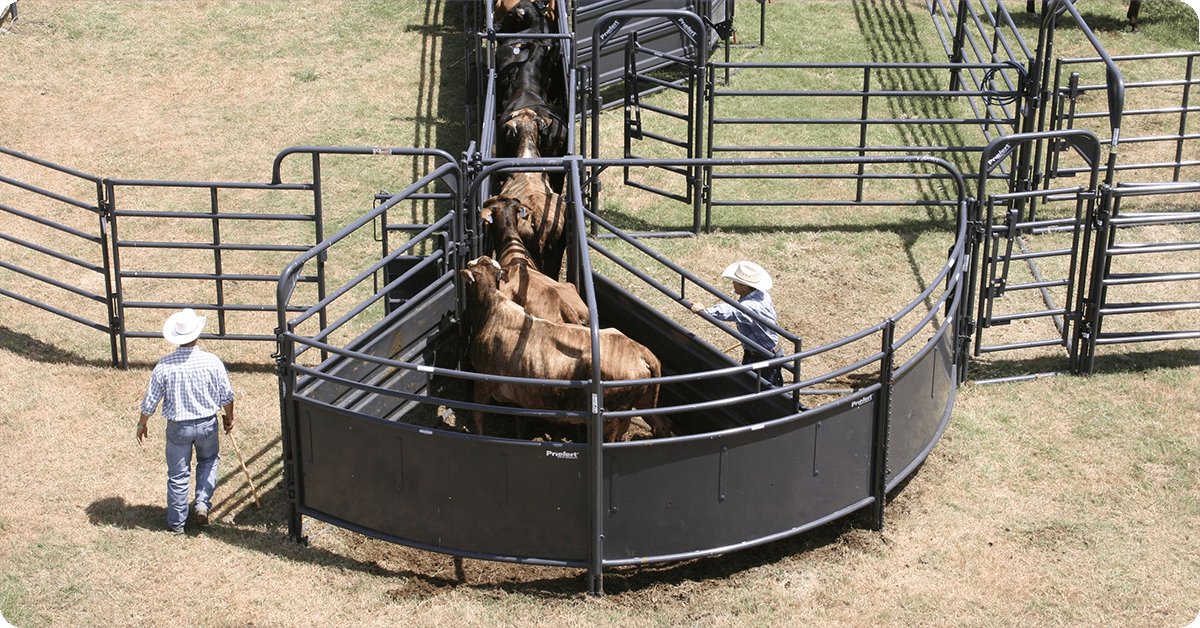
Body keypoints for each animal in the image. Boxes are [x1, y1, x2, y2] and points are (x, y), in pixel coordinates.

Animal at [460, 256, 669, 442]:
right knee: (661, 423)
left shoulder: (484, 378)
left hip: (611, 417)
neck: (493, 308)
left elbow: (478, 413)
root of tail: (642, 351)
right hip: (644, 402)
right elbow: (519, 422)